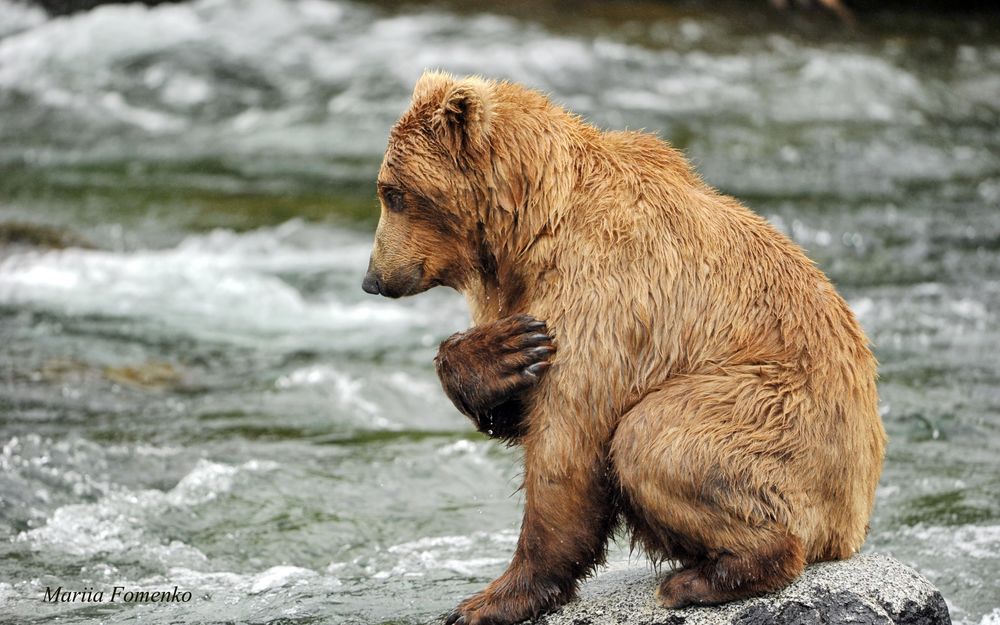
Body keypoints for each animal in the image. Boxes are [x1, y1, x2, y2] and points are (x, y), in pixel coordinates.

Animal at [361, 71, 886, 625]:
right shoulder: (531, 294)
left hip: (778, 416)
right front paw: (503, 352)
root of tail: (853, 523)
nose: (373, 278)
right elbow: (519, 406)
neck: (530, 229)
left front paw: (492, 599)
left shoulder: (605, 299)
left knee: (656, 437)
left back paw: (701, 578)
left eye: (393, 193)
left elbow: (568, 442)